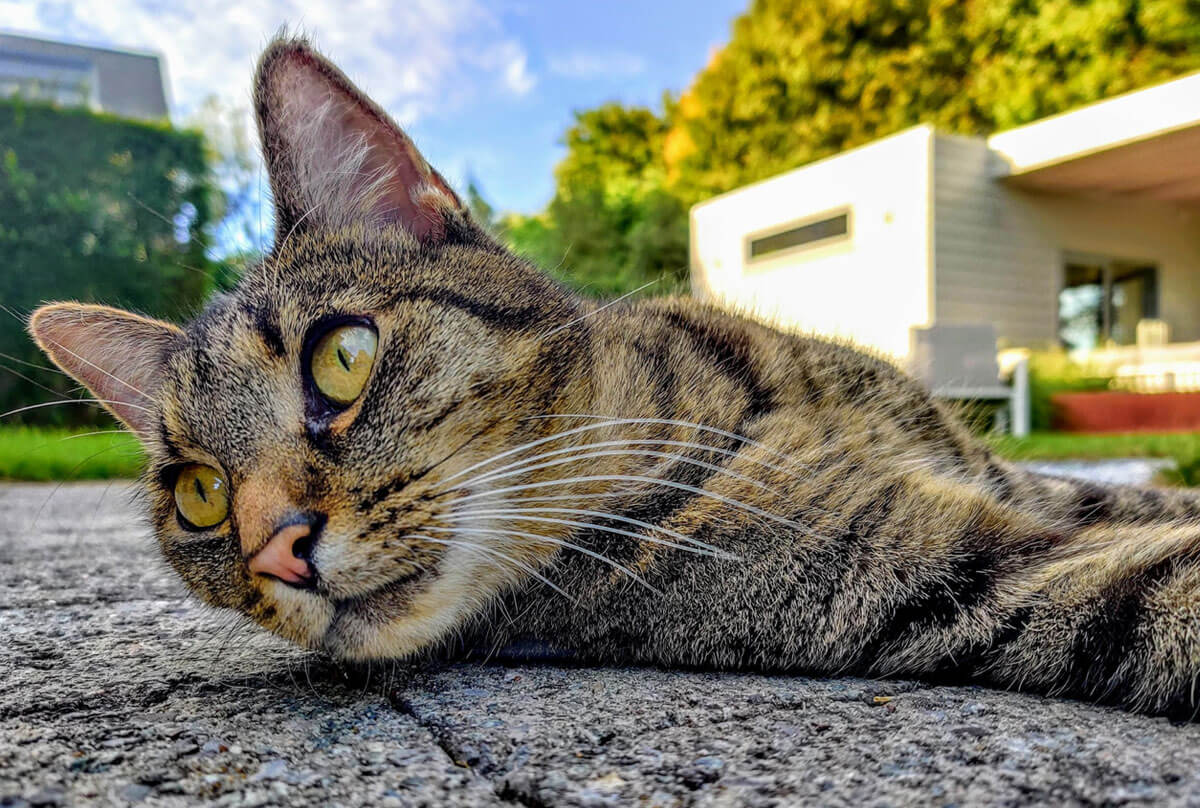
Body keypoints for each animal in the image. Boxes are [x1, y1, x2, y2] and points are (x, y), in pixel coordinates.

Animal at [25, 37, 1200, 720]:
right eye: (199, 495)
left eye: (341, 356)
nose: (273, 548)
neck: (710, 398)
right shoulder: (954, 572)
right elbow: (1157, 581)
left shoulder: (1020, 481)